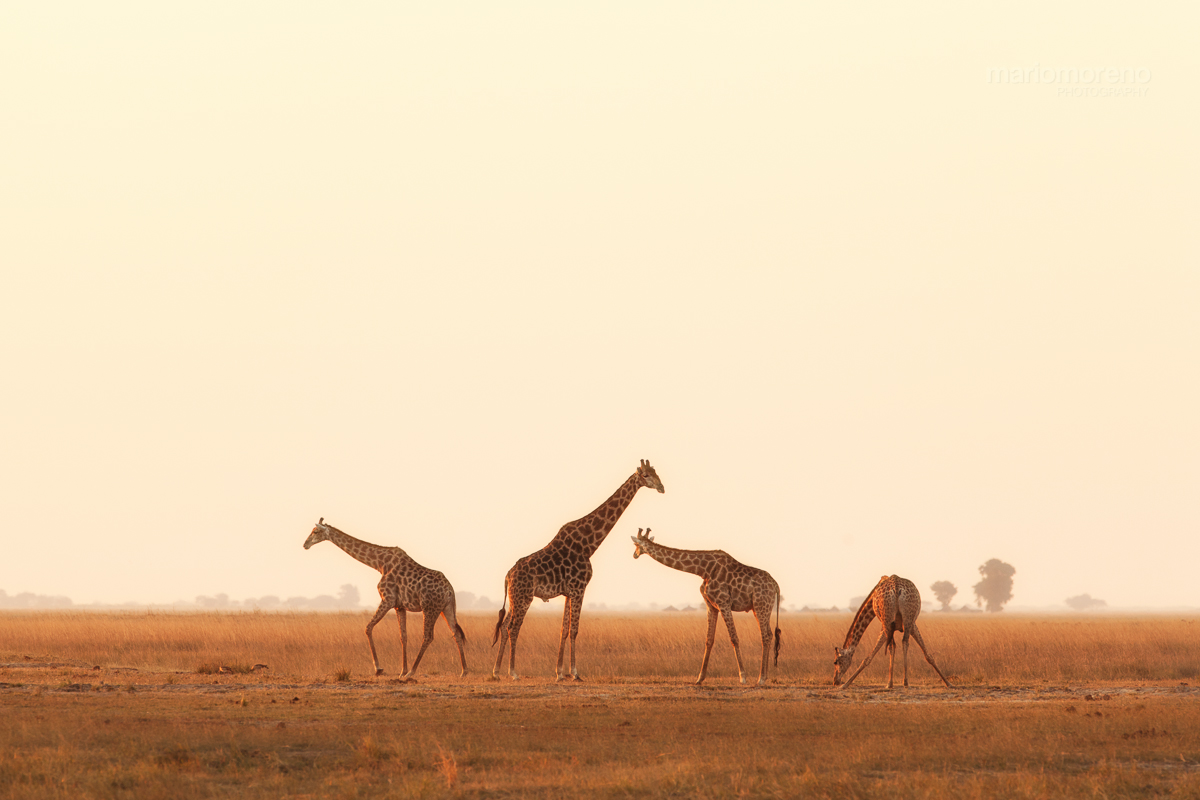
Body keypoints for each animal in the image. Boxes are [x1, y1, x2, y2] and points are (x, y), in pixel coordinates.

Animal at [304, 518, 467, 680]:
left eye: (315, 531)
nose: (305, 544)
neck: (379, 564)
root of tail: (449, 590)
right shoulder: (399, 606)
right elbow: (403, 636)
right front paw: (401, 671)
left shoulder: (387, 599)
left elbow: (368, 628)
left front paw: (379, 669)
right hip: (446, 608)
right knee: (456, 633)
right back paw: (464, 671)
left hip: (429, 608)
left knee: (428, 636)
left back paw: (412, 672)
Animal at [491, 459, 665, 681]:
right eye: (645, 475)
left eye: (656, 472)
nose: (661, 487)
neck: (589, 544)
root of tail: (507, 576)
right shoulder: (579, 588)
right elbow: (574, 630)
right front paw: (575, 673)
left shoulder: (568, 592)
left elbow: (563, 630)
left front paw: (559, 673)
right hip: (524, 597)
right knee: (513, 628)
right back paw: (513, 672)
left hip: (515, 598)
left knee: (505, 626)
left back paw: (496, 671)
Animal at [631, 528, 781, 686]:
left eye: (636, 544)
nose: (634, 554)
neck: (703, 570)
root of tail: (776, 585)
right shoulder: (711, 605)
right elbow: (709, 640)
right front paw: (699, 678)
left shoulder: (723, 602)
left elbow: (734, 638)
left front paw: (743, 677)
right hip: (759, 608)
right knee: (769, 634)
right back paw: (763, 677)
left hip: (761, 605)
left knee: (765, 635)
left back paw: (761, 678)